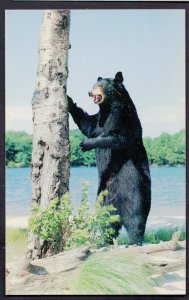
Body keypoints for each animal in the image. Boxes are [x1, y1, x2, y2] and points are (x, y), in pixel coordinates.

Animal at [68, 71, 151, 245]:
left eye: (100, 85)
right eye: (93, 85)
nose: (89, 92)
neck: (109, 108)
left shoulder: (125, 118)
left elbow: (118, 138)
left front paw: (86, 143)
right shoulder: (99, 119)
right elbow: (87, 124)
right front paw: (68, 99)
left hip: (136, 190)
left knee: (136, 218)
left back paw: (135, 241)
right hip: (104, 196)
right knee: (105, 219)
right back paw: (104, 240)